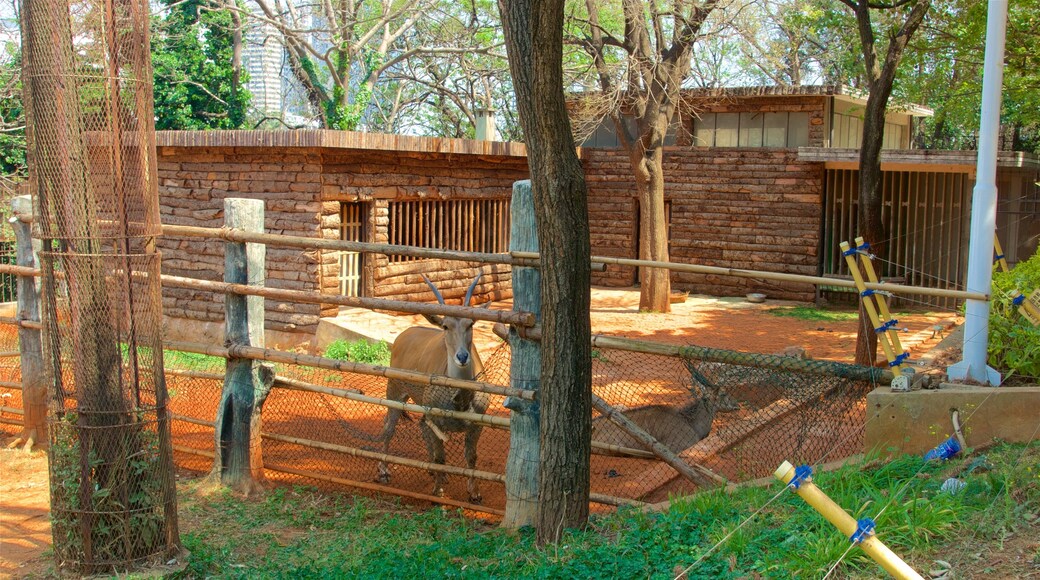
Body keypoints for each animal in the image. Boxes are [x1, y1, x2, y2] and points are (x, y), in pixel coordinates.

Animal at [376, 272, 488, 505]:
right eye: (446, 326)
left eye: (470, 324)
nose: (462, 356)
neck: (461, 399)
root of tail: (403, 335)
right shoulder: (436, 419)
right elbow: (440, 456)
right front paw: (438, 492)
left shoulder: (476, 425)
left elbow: (471, 456)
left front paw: (474, 493)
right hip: (395, 392)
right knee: (388, 427)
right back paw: (383, 471)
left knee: (420, 425)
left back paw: (437, 473)